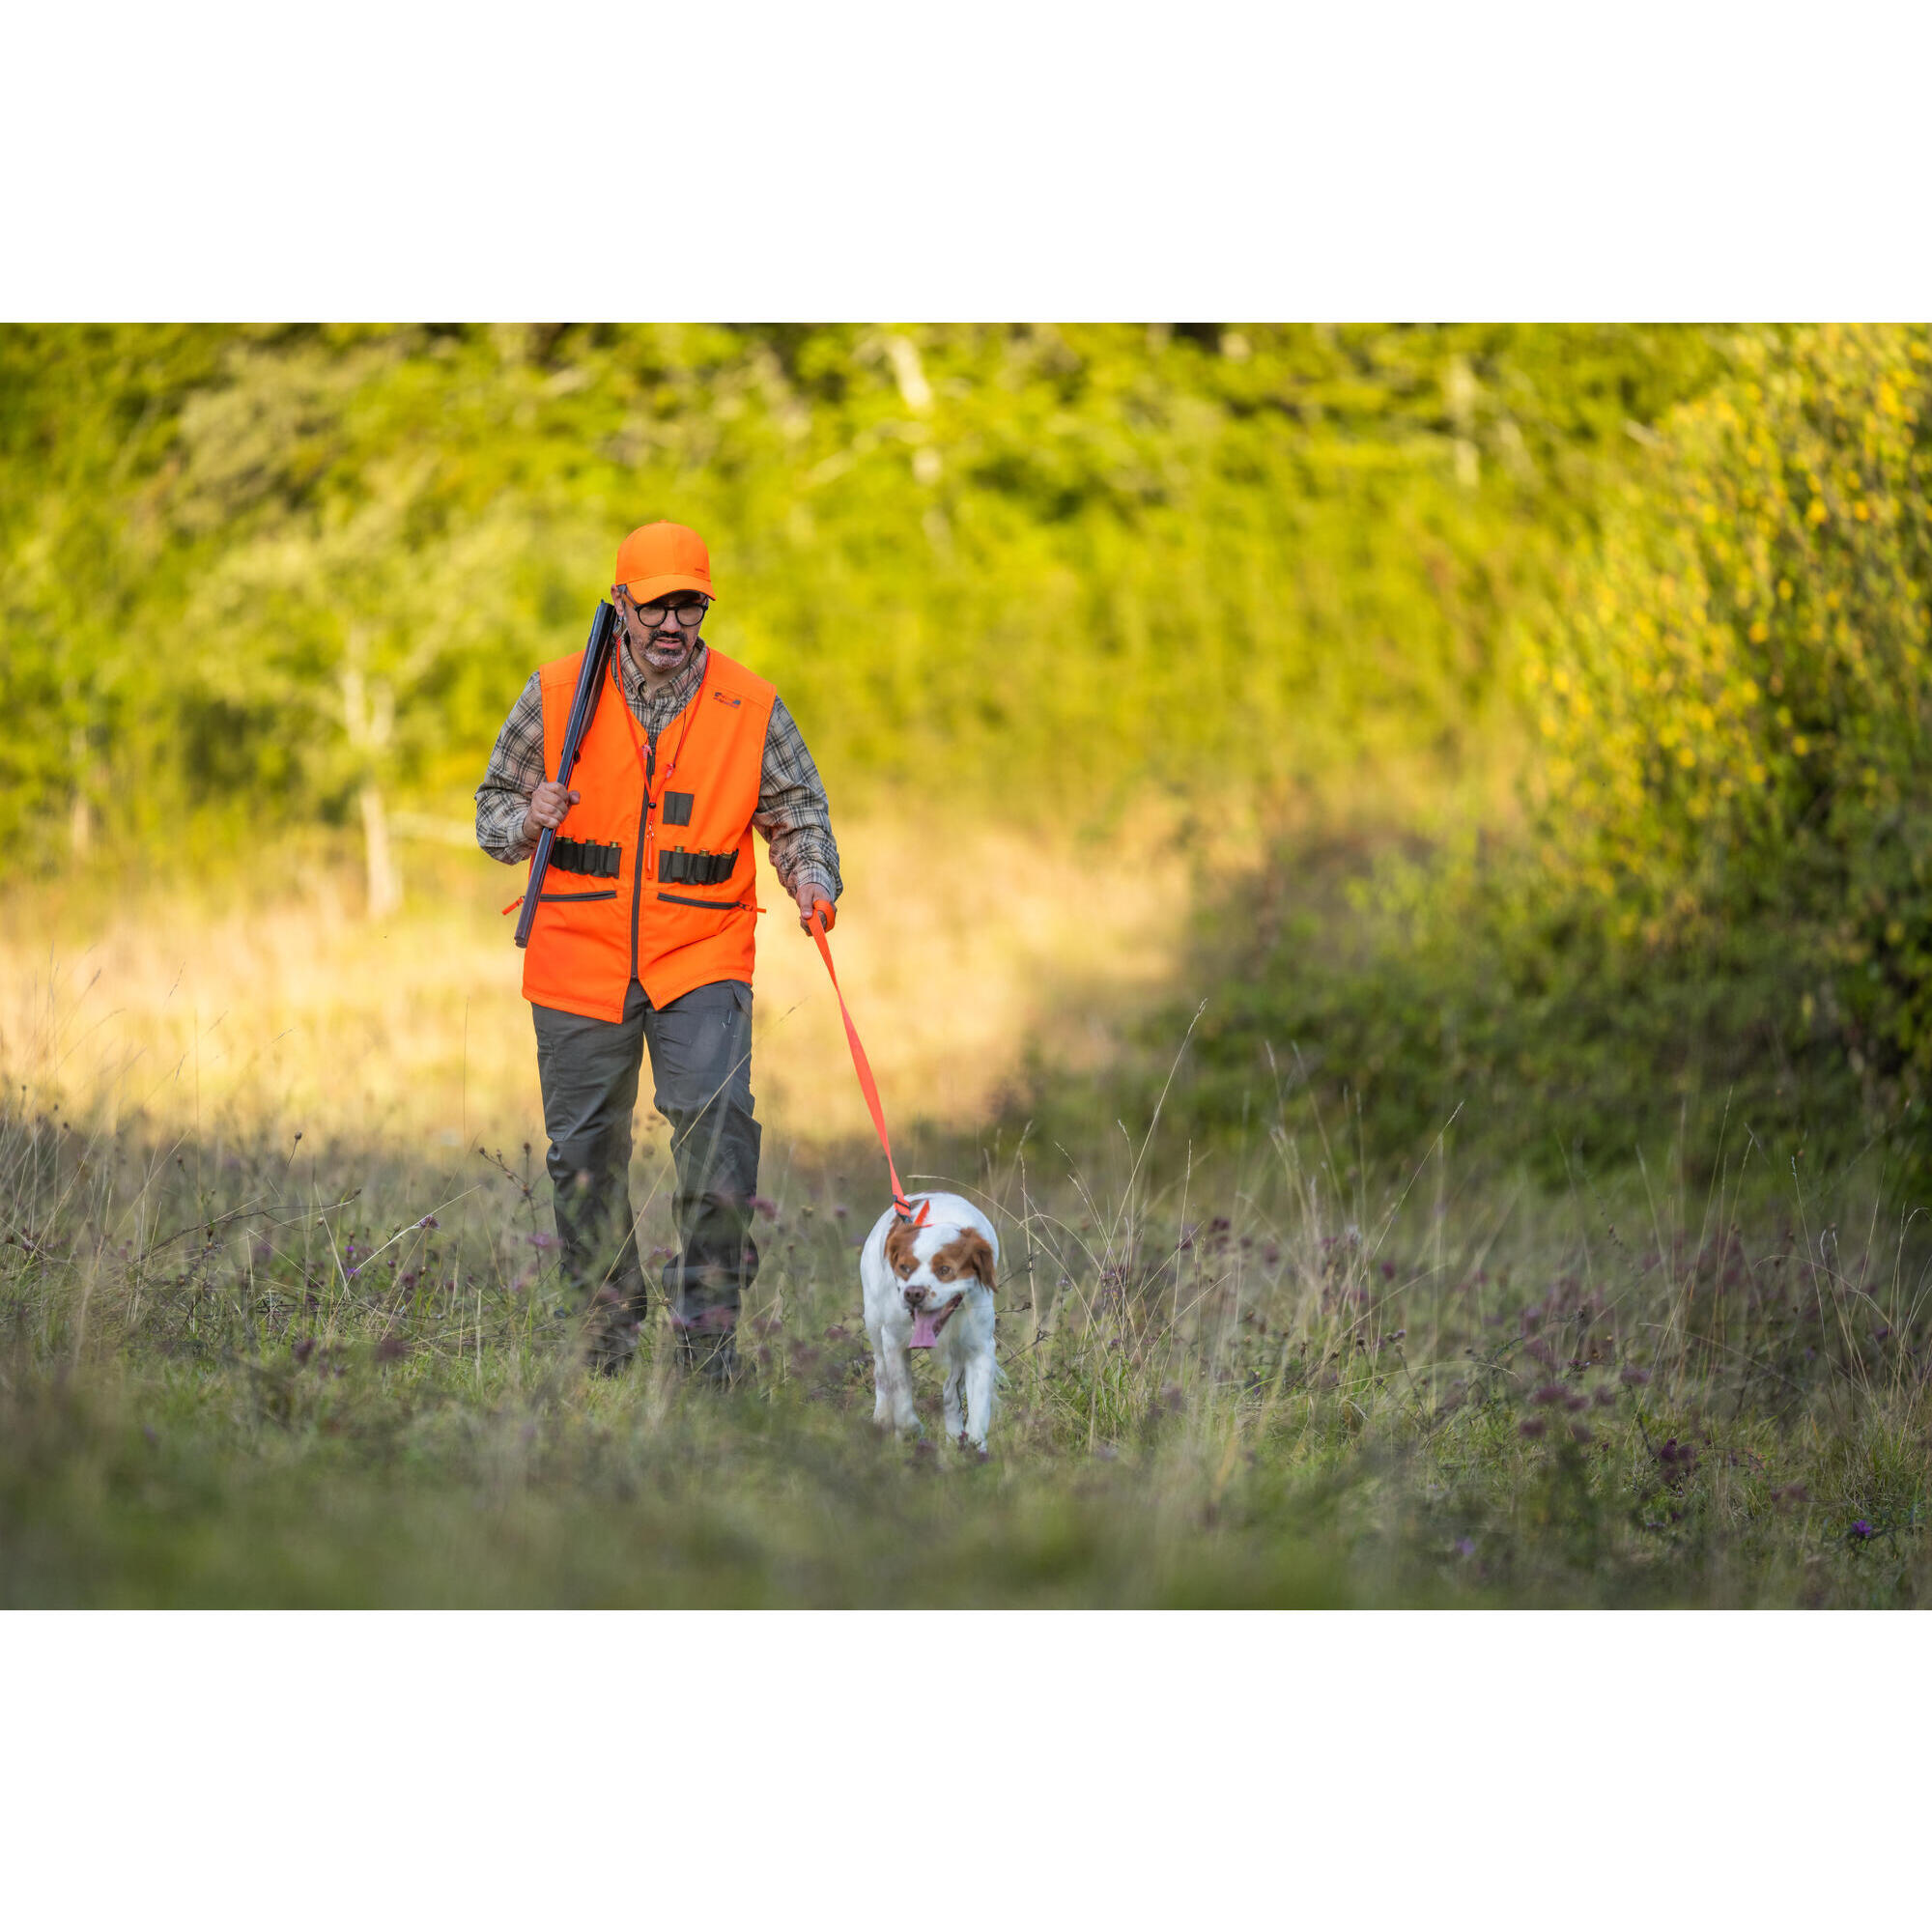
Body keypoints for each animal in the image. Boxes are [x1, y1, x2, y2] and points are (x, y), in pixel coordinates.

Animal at [866, 1190, 1005, 1453]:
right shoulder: (894, 1340)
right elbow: (901, 1398)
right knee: (881, 1373)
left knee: (950, 1392)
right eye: (904, 1267)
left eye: (945, 1270)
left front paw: (974, 1448)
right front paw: (910, 1431)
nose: (913, 1293)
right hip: (873, 1324)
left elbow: (978, 1410)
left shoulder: (979, 1347)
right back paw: (881, 1419)